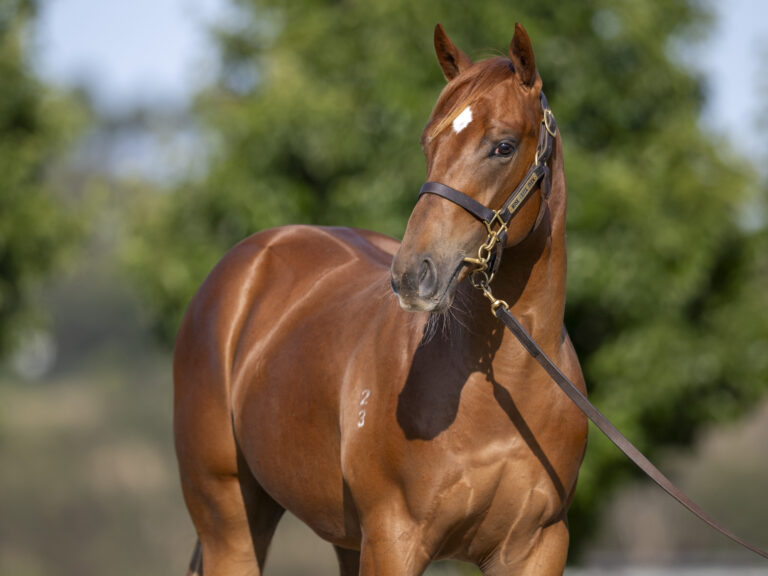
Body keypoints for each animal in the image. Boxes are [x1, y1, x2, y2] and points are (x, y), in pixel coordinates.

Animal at [176, 23, 588, 576]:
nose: (414, 274)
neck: (505, 390)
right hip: (230, 524)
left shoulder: (537, 547)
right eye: (428, 141)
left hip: (341, 537)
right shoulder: (395, 539)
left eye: (503, 146)